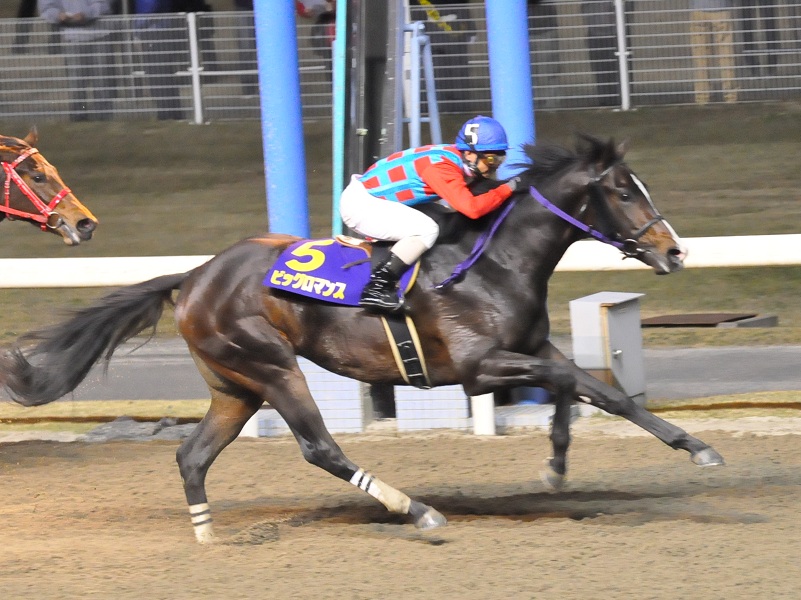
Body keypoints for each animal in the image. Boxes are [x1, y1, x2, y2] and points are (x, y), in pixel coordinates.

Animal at [0, 134, 724, 543]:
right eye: (623, 192)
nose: (676, 251)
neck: (495, 262)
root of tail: (195, 275)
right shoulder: (479, 367)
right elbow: (583, 385)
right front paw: (690, 450)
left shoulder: (529, 351)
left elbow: (589, 390)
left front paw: (564, 466)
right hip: (272, 367)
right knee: (318, 447)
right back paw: (417, 512)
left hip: (235, 385)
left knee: (192, 456)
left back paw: (206, 535)